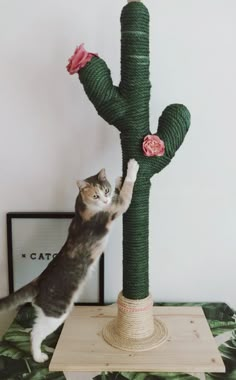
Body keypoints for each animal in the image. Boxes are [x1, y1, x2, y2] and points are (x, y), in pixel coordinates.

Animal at [0, 157, 138, 362]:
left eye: (105, 190)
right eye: (95, 196)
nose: (105, 198)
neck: (81, 207)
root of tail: (39, 281)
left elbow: (120, 190)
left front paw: (118, 179)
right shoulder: (115, 208)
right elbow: (127, 191)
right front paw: (131, 169)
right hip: (56, 313)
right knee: (35, 333)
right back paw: (39, 357)